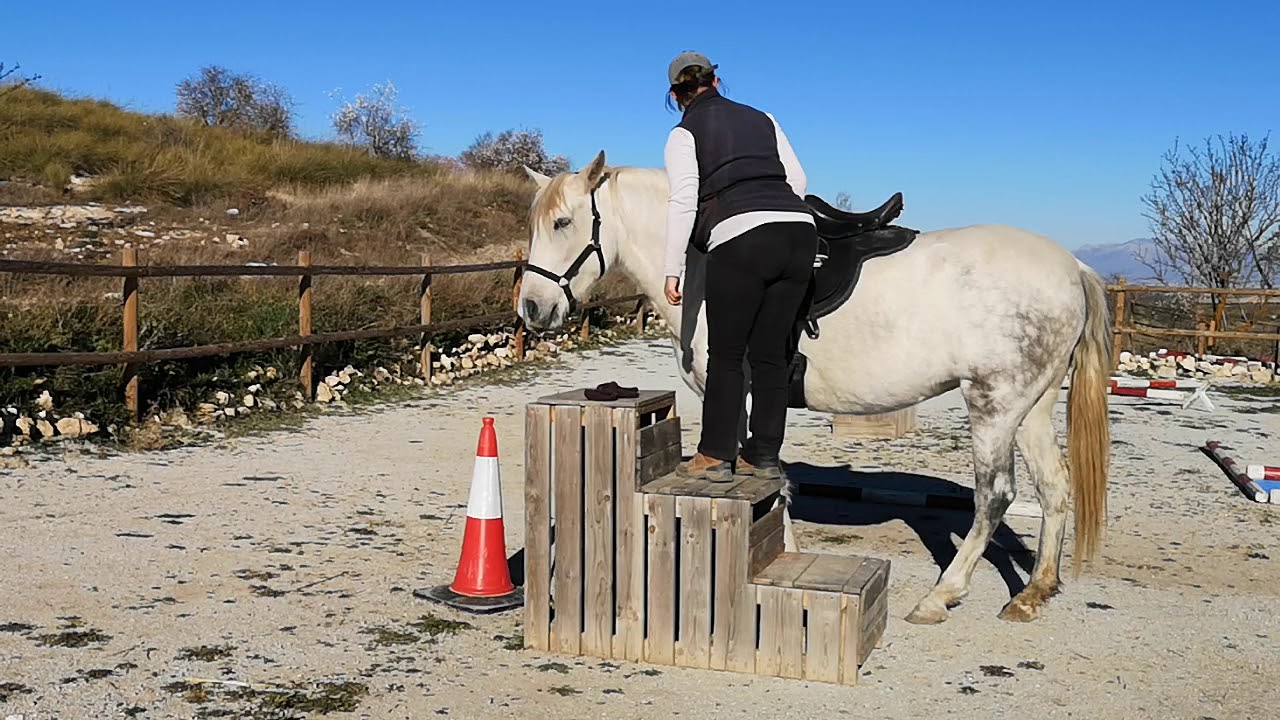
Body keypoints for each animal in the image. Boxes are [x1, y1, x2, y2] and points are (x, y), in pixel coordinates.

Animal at [516, 150, 1111, 625]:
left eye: (563, 222)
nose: (532, 309)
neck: (707, 262)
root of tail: (1072, 267)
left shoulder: (740, 393)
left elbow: (762, 475)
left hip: (993, 405)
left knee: (995, 496)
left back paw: (942, 595)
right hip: (1029, 409)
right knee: (1055, 488)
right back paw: (1034, 592)